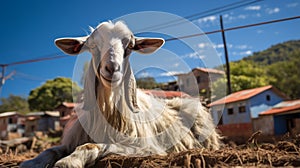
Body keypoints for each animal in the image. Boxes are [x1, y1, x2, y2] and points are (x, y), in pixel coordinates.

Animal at [19, 21, 219, 168]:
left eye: (130, 46)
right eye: (93, 46)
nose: (112, 68)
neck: (107, 108)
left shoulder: (143, 146)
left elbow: (91, 145)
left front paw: (69, 161)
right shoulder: (73, 138)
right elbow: (50, 150)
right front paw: (31, 162)